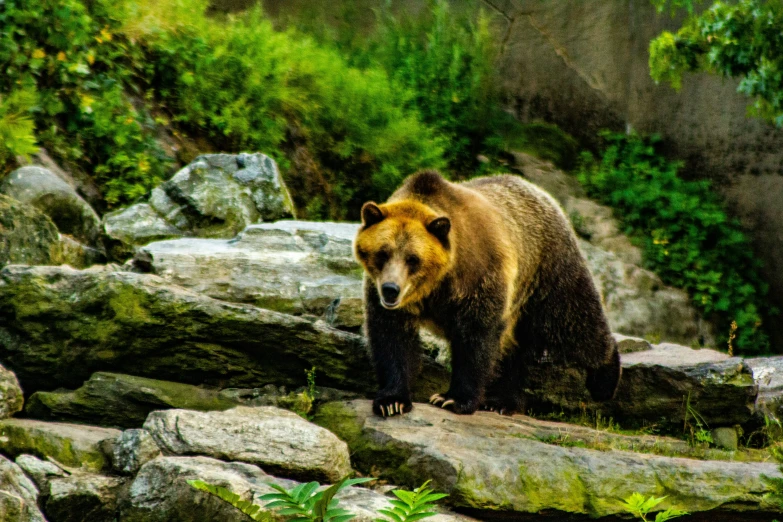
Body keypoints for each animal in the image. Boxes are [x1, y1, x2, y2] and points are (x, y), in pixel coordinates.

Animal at [354, 170, 620, 414]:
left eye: (413, 259)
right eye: (383, 253)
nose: (391, 290)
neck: (435, 285)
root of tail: (543, 193)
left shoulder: (477, 276)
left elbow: (476, 337)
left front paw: (453, 399)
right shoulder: (384, 296)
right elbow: (391, 337)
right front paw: (392, 401)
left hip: (546, 272)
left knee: (572, 320)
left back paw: (605, 378)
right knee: (515, 348)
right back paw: (502, 401)